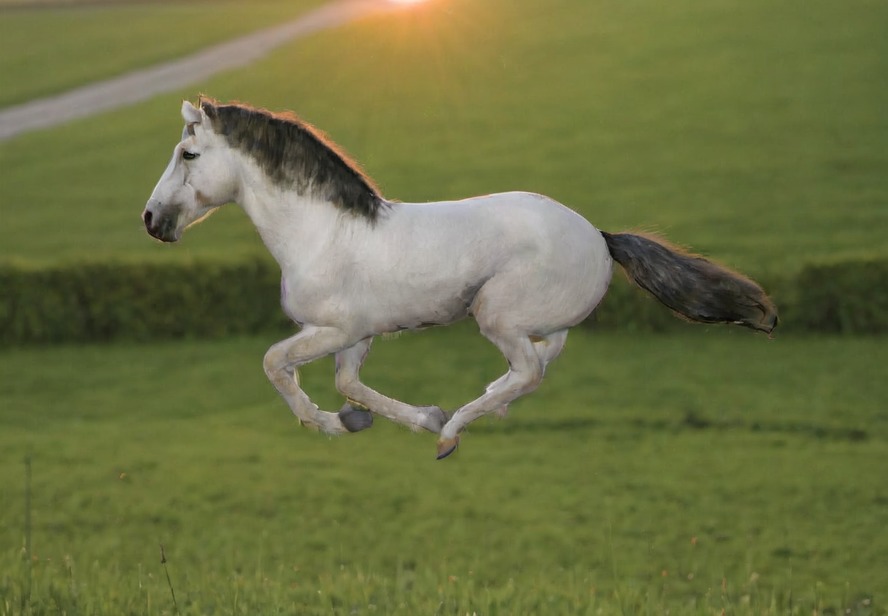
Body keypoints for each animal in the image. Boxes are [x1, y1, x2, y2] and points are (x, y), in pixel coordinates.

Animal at [143, 97, 777, 459]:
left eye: (188, 154)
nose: (152, 220)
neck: (321, 234)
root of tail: (599, 236)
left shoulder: (335, 329)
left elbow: (276, 363)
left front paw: (334, 426)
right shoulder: (358, 335)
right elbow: (350, 385)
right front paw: (388, 419)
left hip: (495, 311)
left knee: (531, 368)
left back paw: (456, 434)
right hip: (531, 316)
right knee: (543, 358)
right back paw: (480, 408)